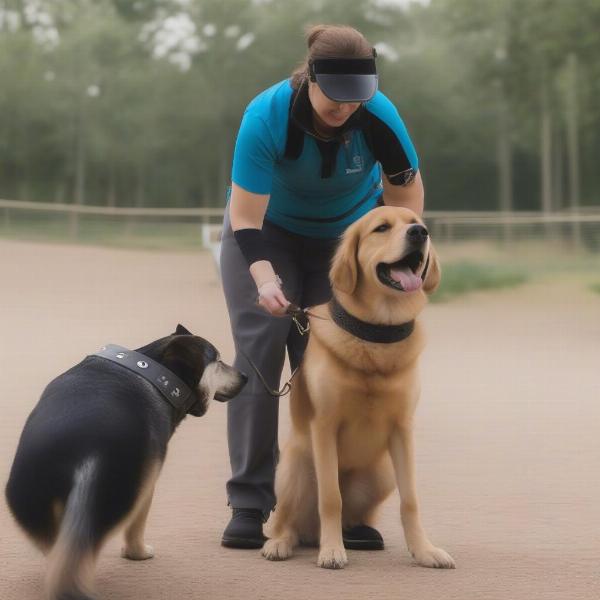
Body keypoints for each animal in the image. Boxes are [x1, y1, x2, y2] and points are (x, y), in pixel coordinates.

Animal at [5, 326, 245, 596]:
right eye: (219, 362)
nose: (246, 376)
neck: (152, 370)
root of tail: (81, 448)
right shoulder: (147, 484)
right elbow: (136, 525)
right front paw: (138, 554)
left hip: (33, 504)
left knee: (58, 554)